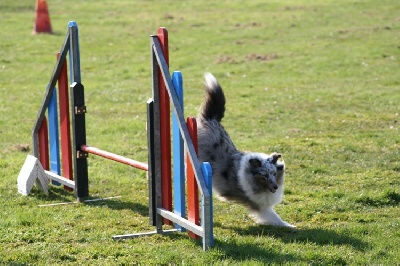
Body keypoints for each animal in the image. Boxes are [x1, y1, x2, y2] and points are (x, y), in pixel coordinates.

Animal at [197, 72, 294, 227]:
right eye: (264, 175)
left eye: (274, 173)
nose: (275, 187)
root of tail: (211, 119)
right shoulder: (258, 205)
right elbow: (274, 217)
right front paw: (290, 226)